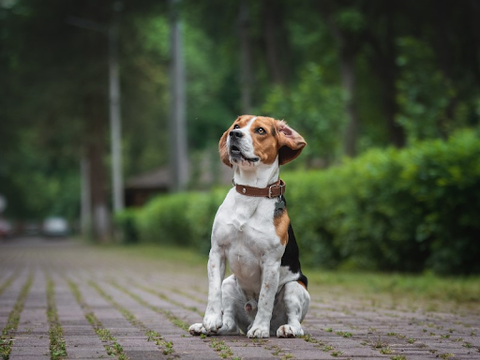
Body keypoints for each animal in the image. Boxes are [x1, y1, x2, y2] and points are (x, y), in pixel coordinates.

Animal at [189, 115, 310, 338]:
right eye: (237, 126)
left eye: (260, 130)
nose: (234, 134)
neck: (250, 191)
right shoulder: (216, 252)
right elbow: (213, 292)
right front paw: (210, 320)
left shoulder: (270, 262)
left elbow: (265, 299)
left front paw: (260, 329)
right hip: (229, 284)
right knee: (229, 322)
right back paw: (209, 327)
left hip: (293, 288)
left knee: (296, 322)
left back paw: (283, 328)